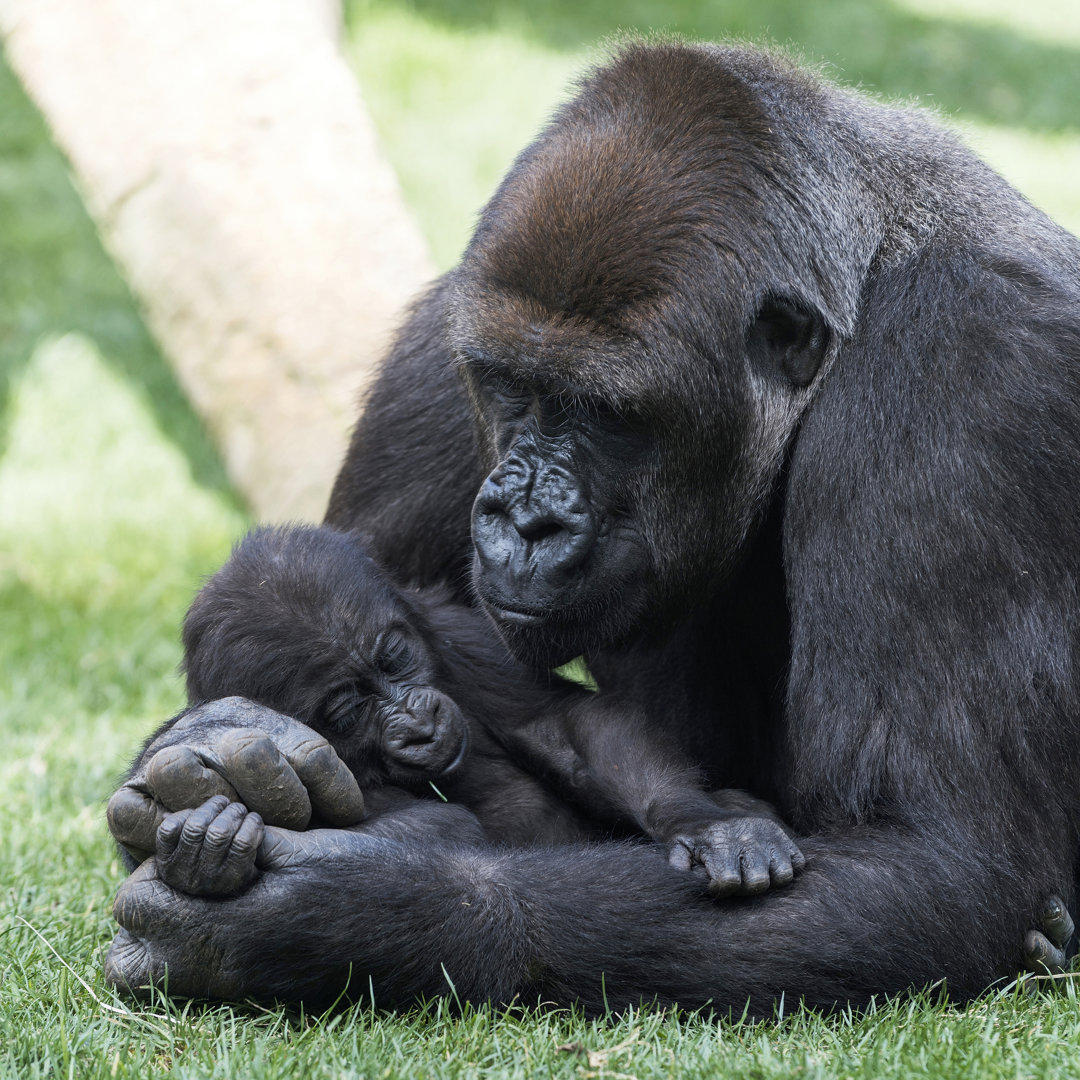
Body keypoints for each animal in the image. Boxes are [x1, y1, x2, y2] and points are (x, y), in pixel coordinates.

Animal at [177, 529, 803, 894]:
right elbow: (436, 828)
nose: (419, 723)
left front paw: (703, 822)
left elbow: (563, 725)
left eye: (394, 658)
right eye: (349, 709)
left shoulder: (458, 632)